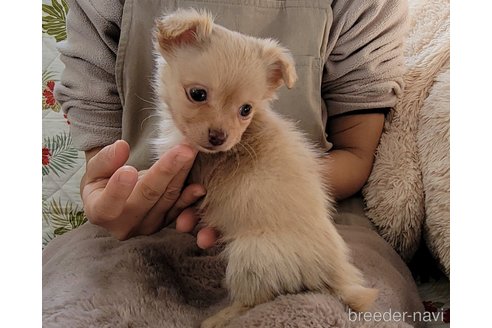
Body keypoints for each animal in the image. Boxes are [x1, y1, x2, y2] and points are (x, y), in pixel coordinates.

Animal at [150, 8, 376, 328]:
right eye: (197, 94)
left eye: (246, 110)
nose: (219, 138)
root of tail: (335, 273)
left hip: (249, 256)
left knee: (254, 299)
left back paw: (219, 317)